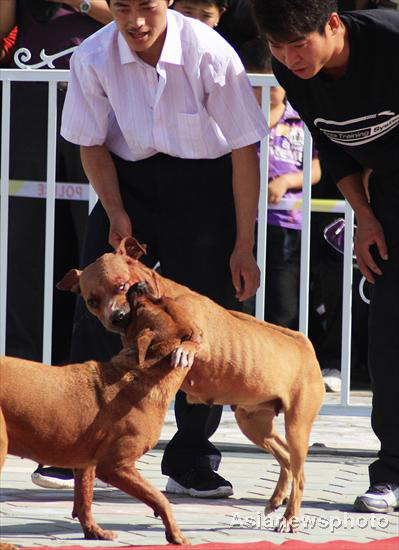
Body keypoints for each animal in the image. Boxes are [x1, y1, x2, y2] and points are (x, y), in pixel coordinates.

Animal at [0, 284, 194, 548]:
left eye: (159, 301)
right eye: (150, 304)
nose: (138, 285)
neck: (138, 371)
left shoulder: (86, 463)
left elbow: (84, 499)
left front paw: (94, 531)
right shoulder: (114, 465)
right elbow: (159, 497)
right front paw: (175, 533)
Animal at [60, 238, 328, 536]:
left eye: (120, 286)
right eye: (92, 301)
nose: (116, 317)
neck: (162, 296)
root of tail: (304, 345)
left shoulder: (200, 338)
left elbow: (193, 342)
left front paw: (185, 351)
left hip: (297, 426)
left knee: (299, 473)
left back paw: (290, 517)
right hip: (253, 422)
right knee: (285, 458)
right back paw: (277, 497)